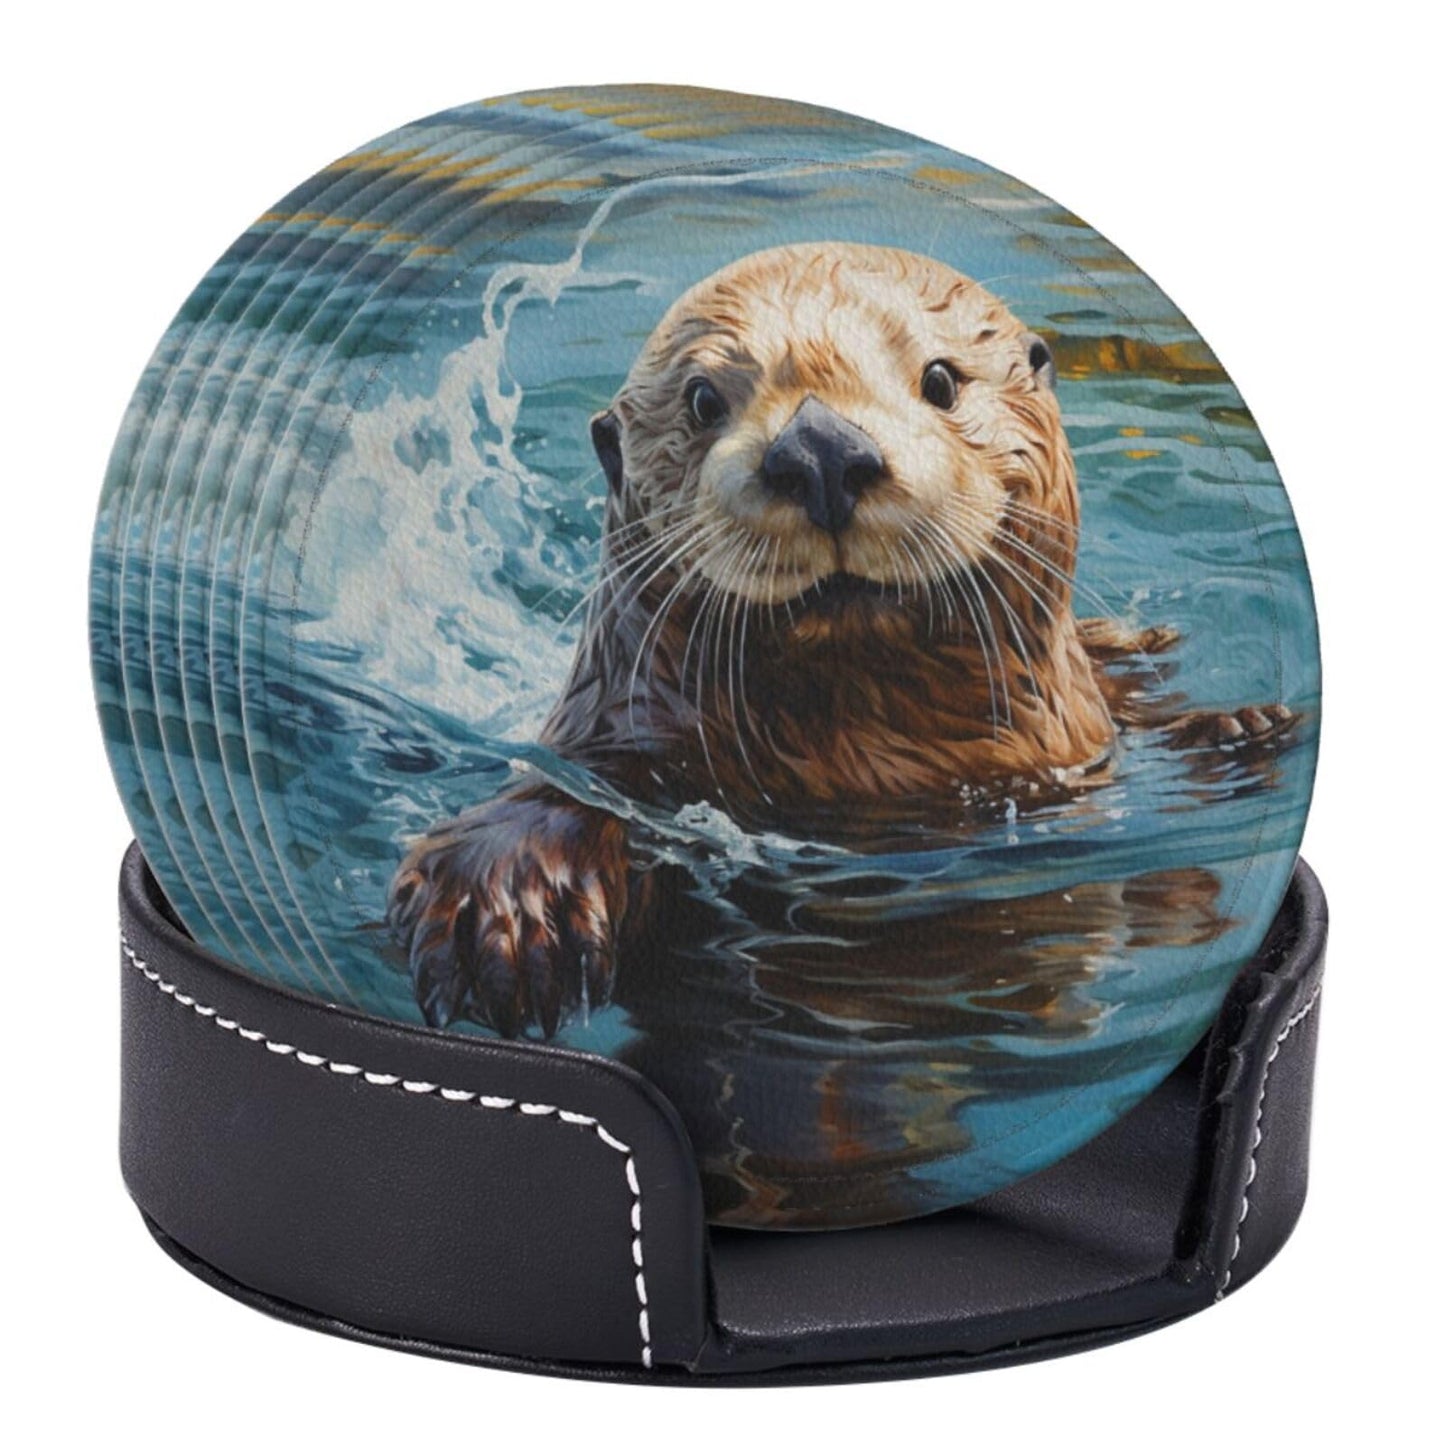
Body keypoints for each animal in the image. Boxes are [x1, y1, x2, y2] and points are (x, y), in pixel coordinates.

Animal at [388, 242, 1295, 1038]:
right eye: (702, 401)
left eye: (940, 379)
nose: (821, 448)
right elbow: (562, 797)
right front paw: (506, 902)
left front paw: (1238, 734)